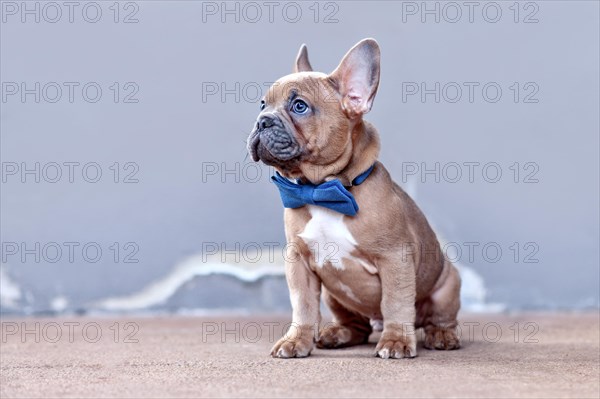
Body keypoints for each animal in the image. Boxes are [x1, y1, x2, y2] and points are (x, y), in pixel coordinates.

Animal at [246, 39, 462, 360]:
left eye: (299, 106)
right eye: (262, 104)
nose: (262, 121)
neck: (323, 189)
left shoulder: (395, 259)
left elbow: (396, 303)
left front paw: (396, 340)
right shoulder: (299, 262)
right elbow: (303, 306)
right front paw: (296, 341)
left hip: (448, 284)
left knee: (439, 318)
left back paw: (442, 336)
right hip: (335, 296)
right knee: (356, 326)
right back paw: (338, 334)